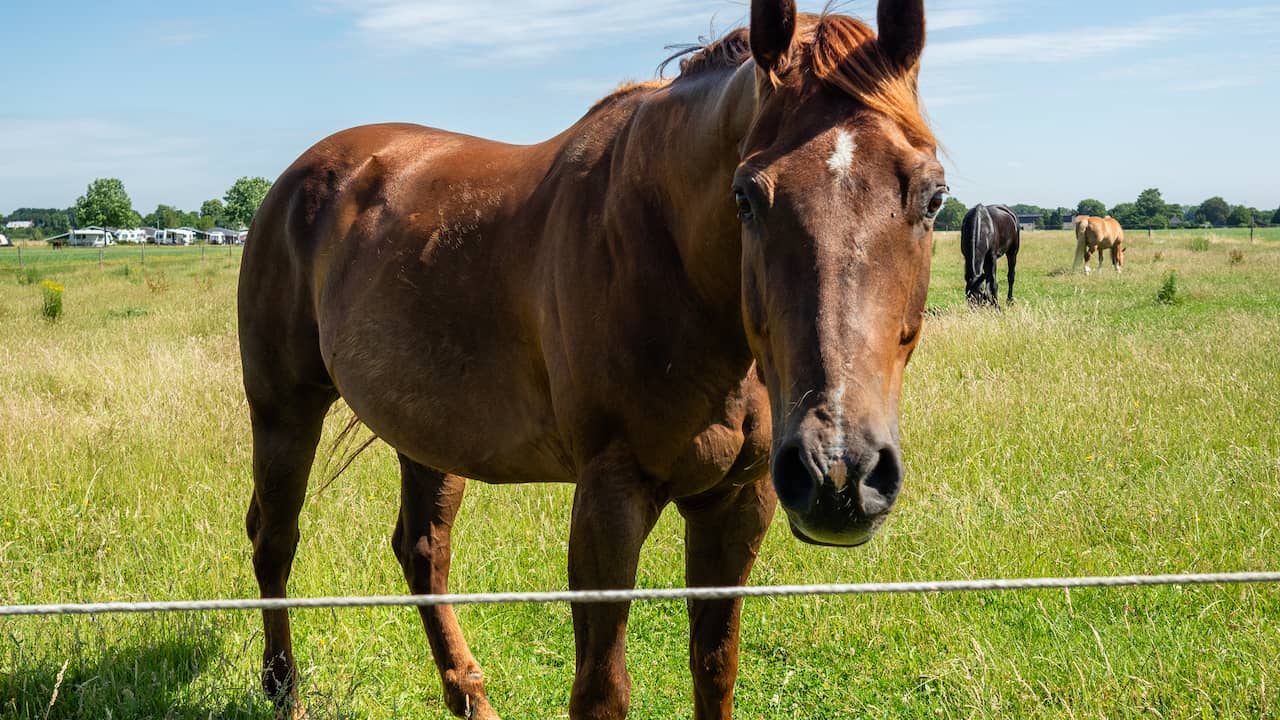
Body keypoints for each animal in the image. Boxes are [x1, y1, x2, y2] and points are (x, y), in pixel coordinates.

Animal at [237, 1, 943, 718]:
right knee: (275, 540)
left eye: (933, 196)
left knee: (422, 551)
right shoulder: (611, 497)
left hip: (427, 433)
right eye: (746, 196)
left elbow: (715, 668)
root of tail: (301, 177)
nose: (840, 473)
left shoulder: (738, 502)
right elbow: (602, 690)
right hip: (283, 410)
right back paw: (284, 691)